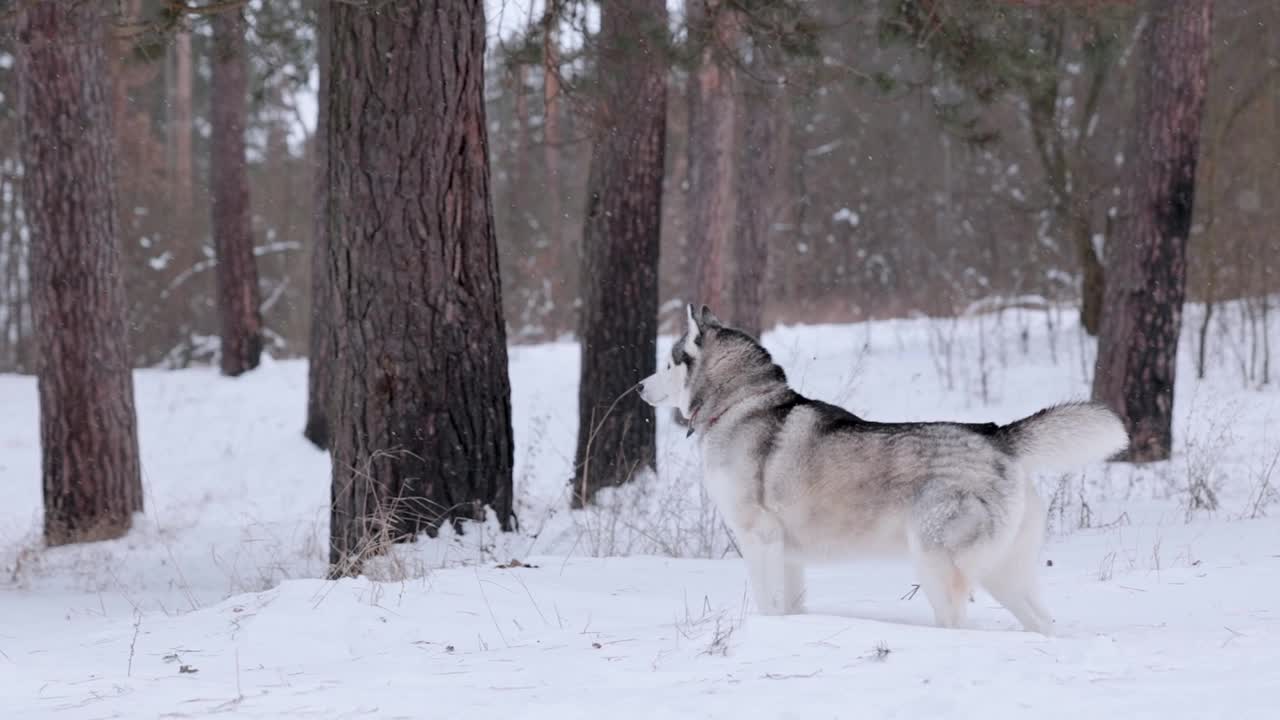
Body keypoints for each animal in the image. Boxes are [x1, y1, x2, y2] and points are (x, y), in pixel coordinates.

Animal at [634, 303, 1126, 632]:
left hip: (936, 561)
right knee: (1041, 621)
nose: (638, 387)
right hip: (1004, 570)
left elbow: (767, 604)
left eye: (668, 362)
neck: (741, 403)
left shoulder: (759, 537)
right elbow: (789, 604)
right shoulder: (788, 552)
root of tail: (997, 434)